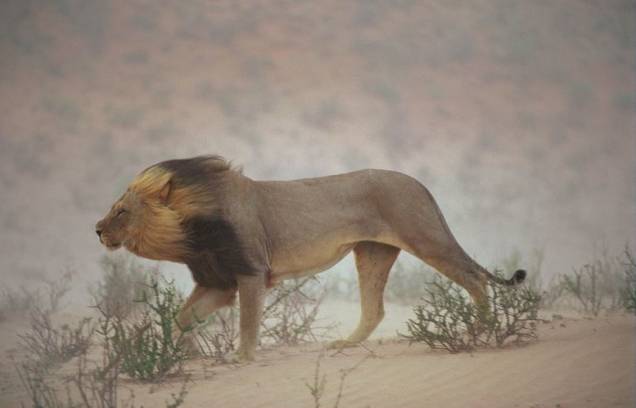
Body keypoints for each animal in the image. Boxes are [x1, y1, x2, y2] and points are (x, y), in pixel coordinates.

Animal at [93, 155, 520, 360]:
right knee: (374, 310)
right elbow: (183, 318)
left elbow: (247, 323)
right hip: (373, 252)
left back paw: (480, 330)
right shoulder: (218, 283)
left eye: (122, 212)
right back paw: (345, 345)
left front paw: (240, 358)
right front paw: (189, 354)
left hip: (426, 238)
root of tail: (418, 182)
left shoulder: (250, 273)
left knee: (474, 278)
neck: (189, 231)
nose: (96, 229)